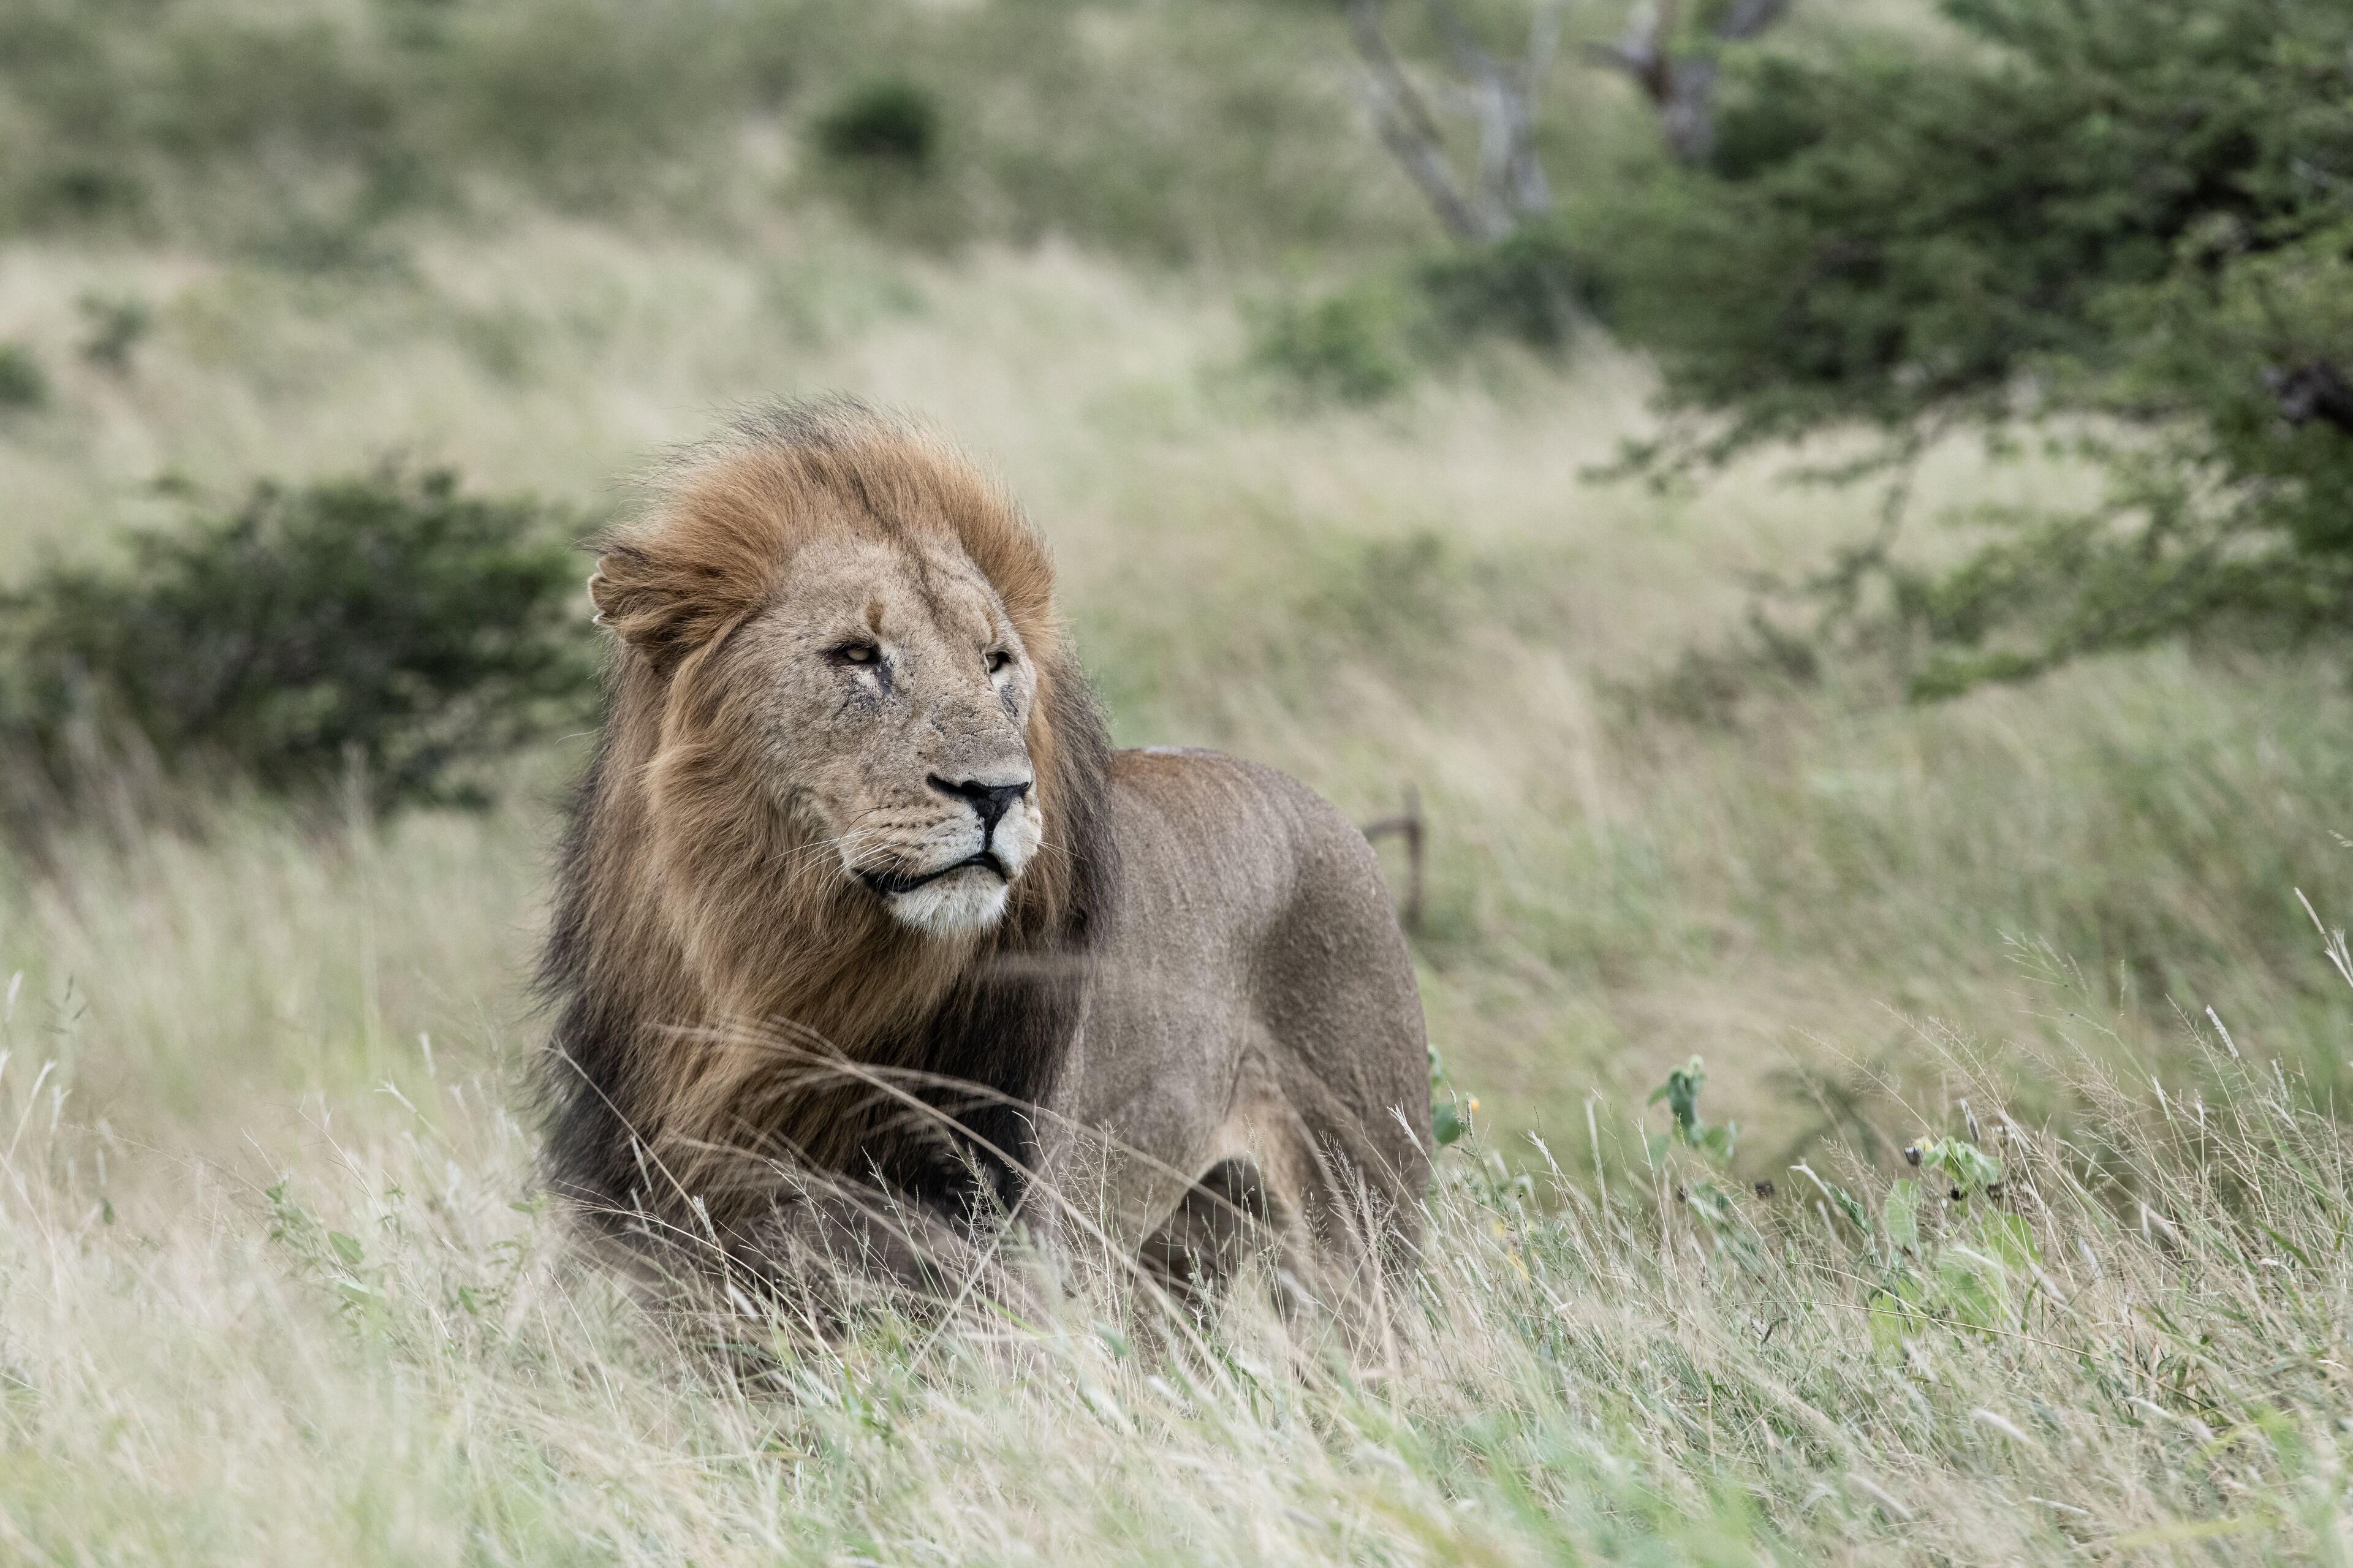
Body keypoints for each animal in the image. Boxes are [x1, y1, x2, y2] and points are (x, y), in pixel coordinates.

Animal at [537, 399, 1429, 1320]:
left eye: (995, 662)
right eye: (856, 655)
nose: (1000, 792)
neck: (774, 978)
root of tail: (1329, 813)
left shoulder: (1006, 1260)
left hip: (1362, 1220)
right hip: (1177, 1258)